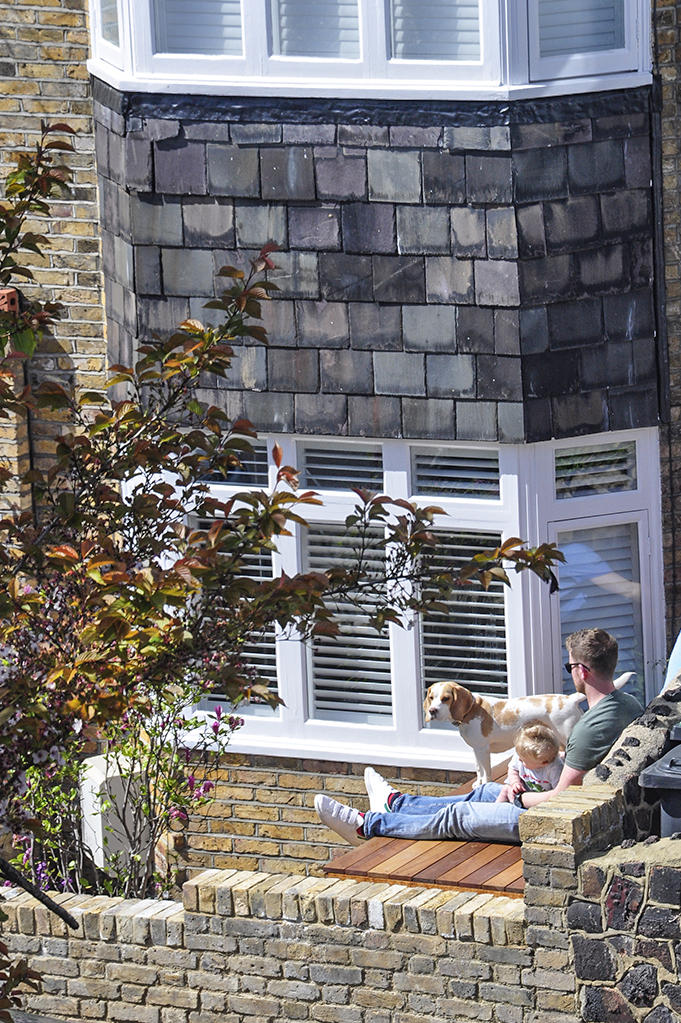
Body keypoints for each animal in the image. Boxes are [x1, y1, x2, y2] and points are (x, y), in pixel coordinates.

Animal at [425, 675, 629, 785]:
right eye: (431, 697)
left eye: (446, 698)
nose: (432, 711)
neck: (470, 710)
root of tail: (570, 698)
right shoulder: (476, 750)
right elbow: (478, 770)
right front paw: (478, 784)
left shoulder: (482, 749)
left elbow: (486, 772)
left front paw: (485, 785)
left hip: (568, 735)